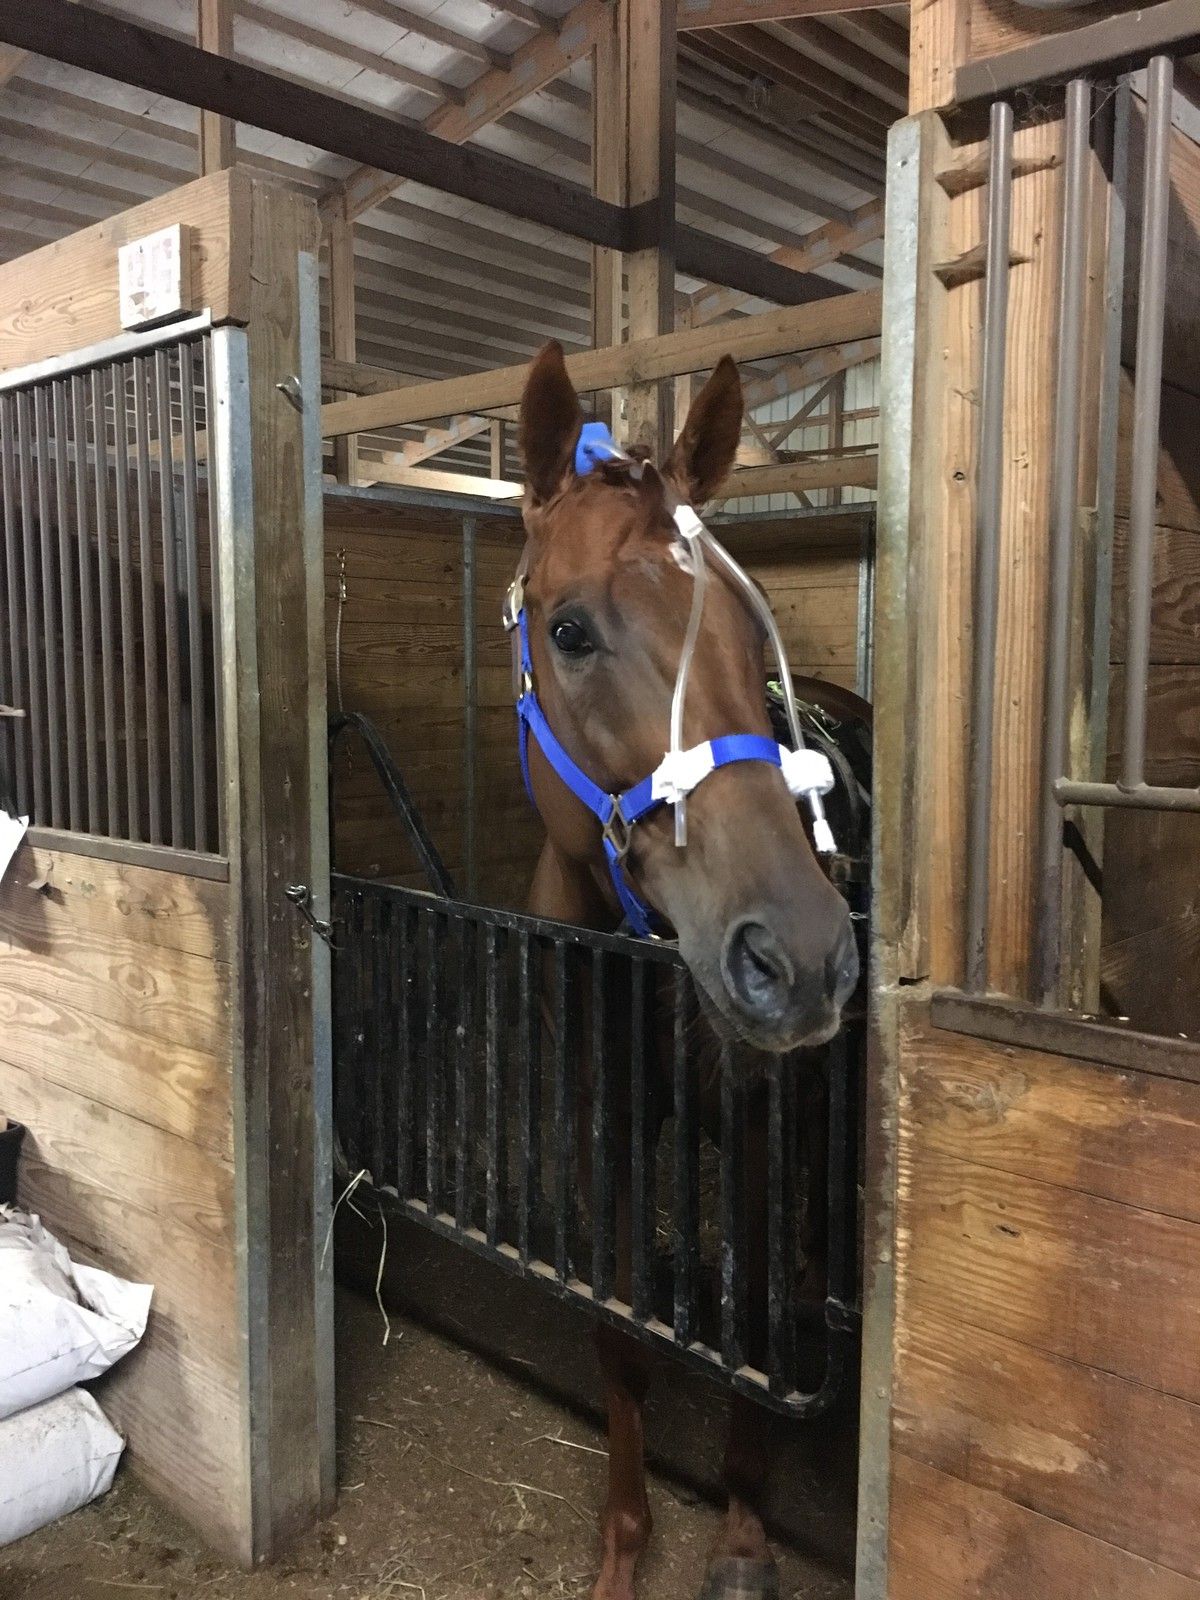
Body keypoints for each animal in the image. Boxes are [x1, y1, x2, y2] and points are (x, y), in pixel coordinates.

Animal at [512, 341, 859, 1600]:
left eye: (750, 646)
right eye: (570, 630)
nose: (799, 953)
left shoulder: (759, 1138)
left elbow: (751, 1334)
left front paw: (746, 1539)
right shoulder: (601, 1125)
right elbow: (621, 1335)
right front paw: (624, 1546)